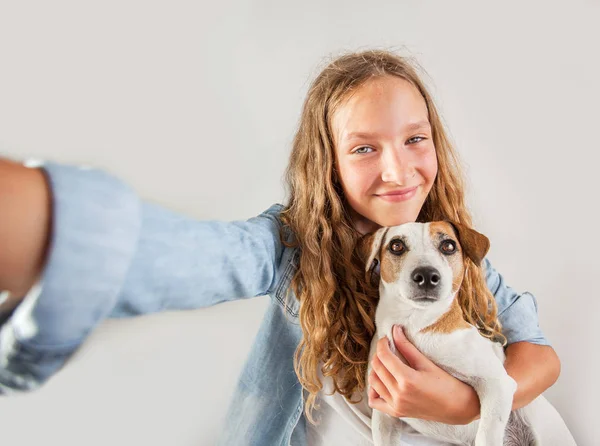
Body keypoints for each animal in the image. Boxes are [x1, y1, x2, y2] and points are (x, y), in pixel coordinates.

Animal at [360, 221, 540, 444]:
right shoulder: (384, 416)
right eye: (396, 246)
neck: (414, 324)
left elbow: (486, 435)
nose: (427, 275)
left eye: (448, 246)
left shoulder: (497, 384)